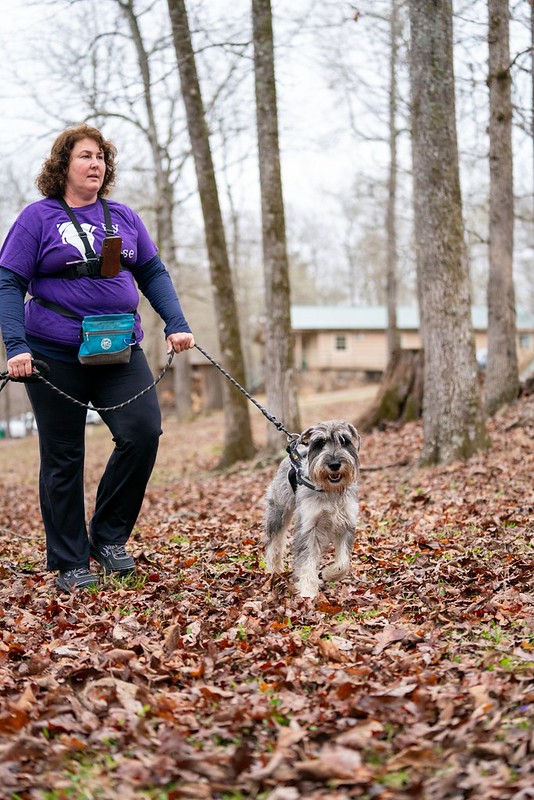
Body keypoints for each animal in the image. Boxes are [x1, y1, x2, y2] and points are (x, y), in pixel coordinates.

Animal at [264, 422, 362, 596]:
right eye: (320, 443)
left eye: (344, 441)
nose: (334, 464)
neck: (330, 490)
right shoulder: (309, 527)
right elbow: (306, 560)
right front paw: (308, 592)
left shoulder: (346, 524)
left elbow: (343, 563)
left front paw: (329, 574)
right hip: (278, 512)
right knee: (274, 543)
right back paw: (273, 571)